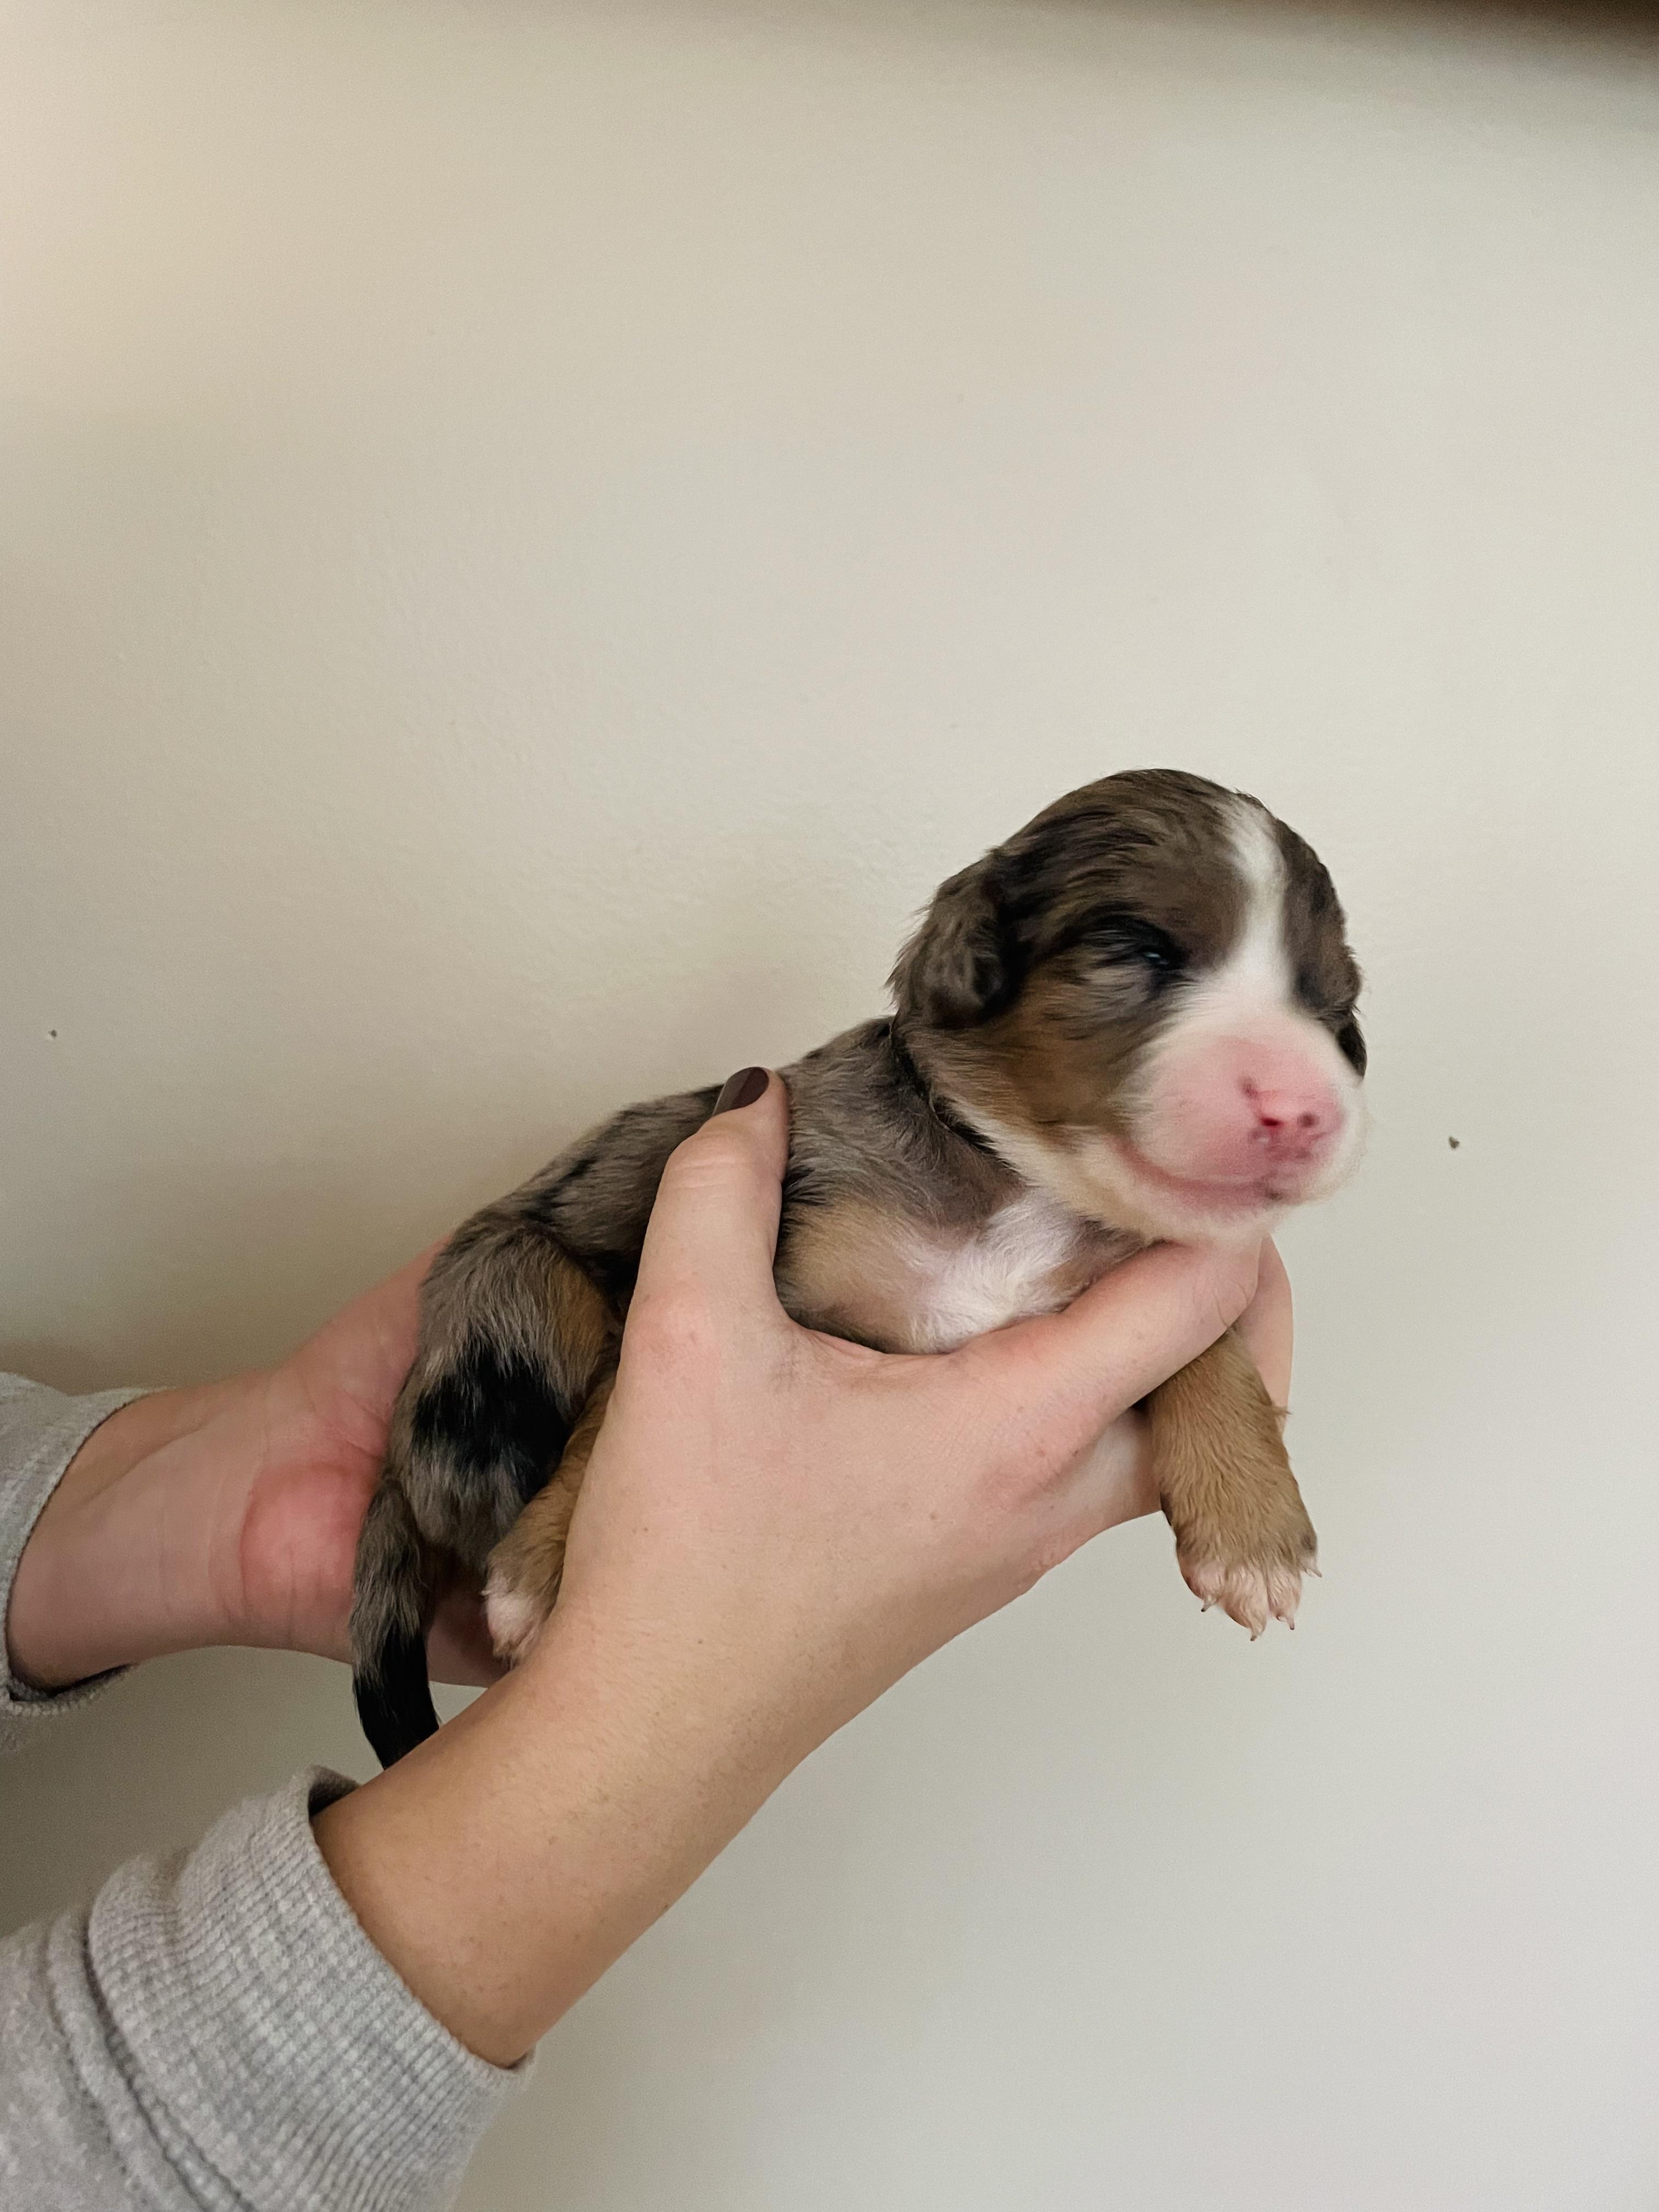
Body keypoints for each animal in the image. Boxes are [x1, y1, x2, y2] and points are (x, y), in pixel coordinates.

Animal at [351, 768, 1366, 1769]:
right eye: (1143, 951)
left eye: (1333, 1007)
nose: (1305, 1111)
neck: (1020, 1187)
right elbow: (608, 1421)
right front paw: (554, 1565)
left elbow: (1209, 1350)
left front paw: (1253, 1529)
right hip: (519, 1282)